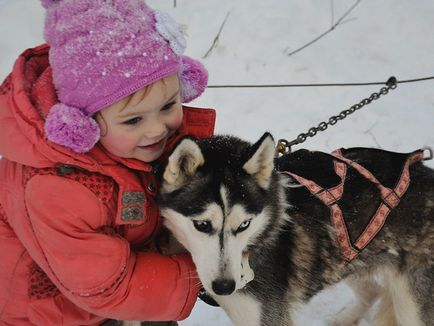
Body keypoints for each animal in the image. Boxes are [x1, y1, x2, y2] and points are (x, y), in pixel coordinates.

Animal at [159, 133, 434, 326]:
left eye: (244, 224)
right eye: (202, 225)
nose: (225, 287)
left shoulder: (268, 317)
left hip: (411, 305)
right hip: (346, 260)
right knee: (372, 290)